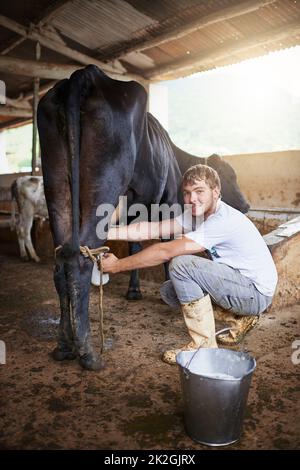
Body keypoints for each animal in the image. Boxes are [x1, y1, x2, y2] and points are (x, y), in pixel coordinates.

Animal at [37, 65, 248, 370]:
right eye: (228, 176)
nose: (246, 204)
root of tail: (86, 75)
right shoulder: (168, 204)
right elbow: (166, 246)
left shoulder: (133, 211)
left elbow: (135, 245)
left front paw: (133, 290)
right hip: (105, 181)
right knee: (78, 261)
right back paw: (88, 353)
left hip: (56, 184)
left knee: (62, 260)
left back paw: (64, 345)